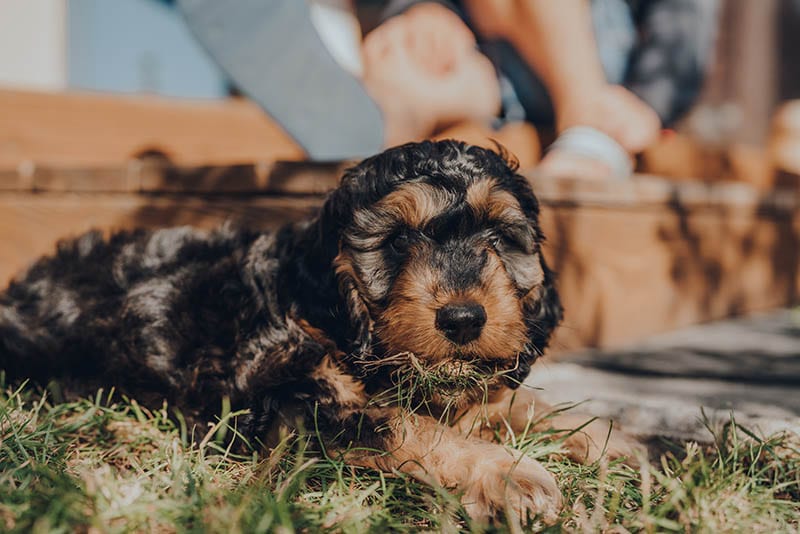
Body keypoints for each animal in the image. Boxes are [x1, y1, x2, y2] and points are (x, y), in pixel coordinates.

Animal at [0, 141, 636, 528]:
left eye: (500, 239)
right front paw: (509, 473)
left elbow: (513, 401)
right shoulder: (286, 401)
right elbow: (402, 423)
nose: (462, 319)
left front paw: (615, 444)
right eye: (397, 242)